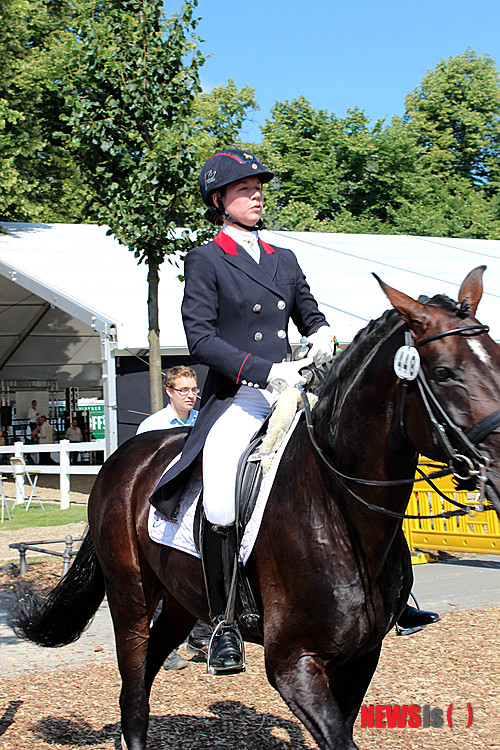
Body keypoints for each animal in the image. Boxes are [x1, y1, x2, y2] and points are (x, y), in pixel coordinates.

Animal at [10, 268, 500, 748]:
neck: (339, 512)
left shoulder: (362, 657)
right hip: (130, 597)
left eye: (495, 357)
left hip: (181, 598)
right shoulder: (292, 664)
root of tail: (123, 457)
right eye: (443, 373)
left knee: (146, 673)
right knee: (132, 693)